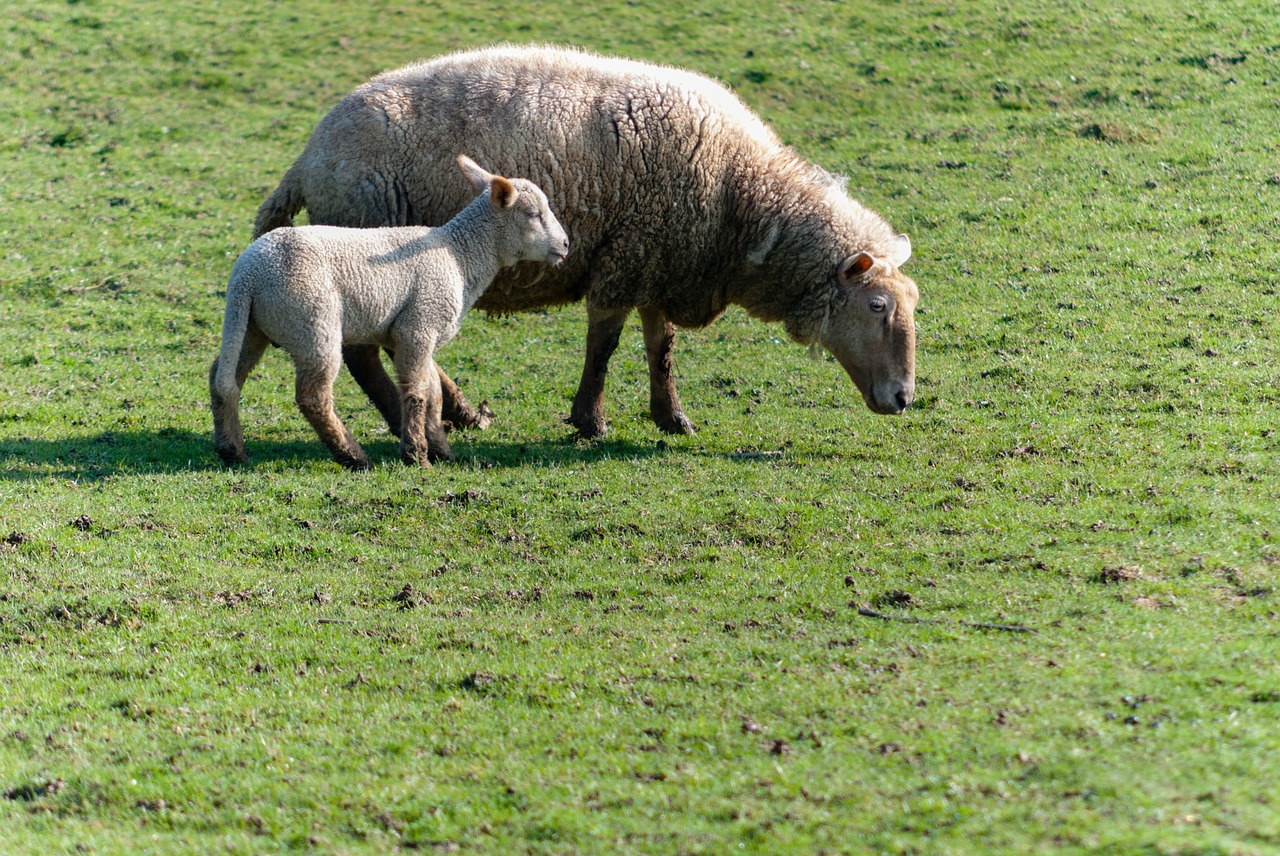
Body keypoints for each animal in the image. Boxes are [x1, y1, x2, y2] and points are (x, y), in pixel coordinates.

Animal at [211, 156, 570, 470]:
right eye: (532, 213)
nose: (566, 245)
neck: (461, 256)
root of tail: (248, 273)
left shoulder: (418, 333)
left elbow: (433, 393)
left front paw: (440, 448)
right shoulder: (418, 326)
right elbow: (416, 392)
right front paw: (417, 455)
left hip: (252, 325)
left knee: (224, 379)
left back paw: (232, 450)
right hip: (312, 323)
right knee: (313, 397)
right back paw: (353, 456)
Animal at [252, 43, 921, 437]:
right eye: (876, 306)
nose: (903, 398)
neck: (742, 197)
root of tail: (308, 157)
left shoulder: (662, 259)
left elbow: (660, 348)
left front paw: (671, 417)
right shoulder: (627, 257)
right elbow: (604, 346)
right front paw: (591, 421)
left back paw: (455, 413)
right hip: (366, 246)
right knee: (370, 352)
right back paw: (414, 417)